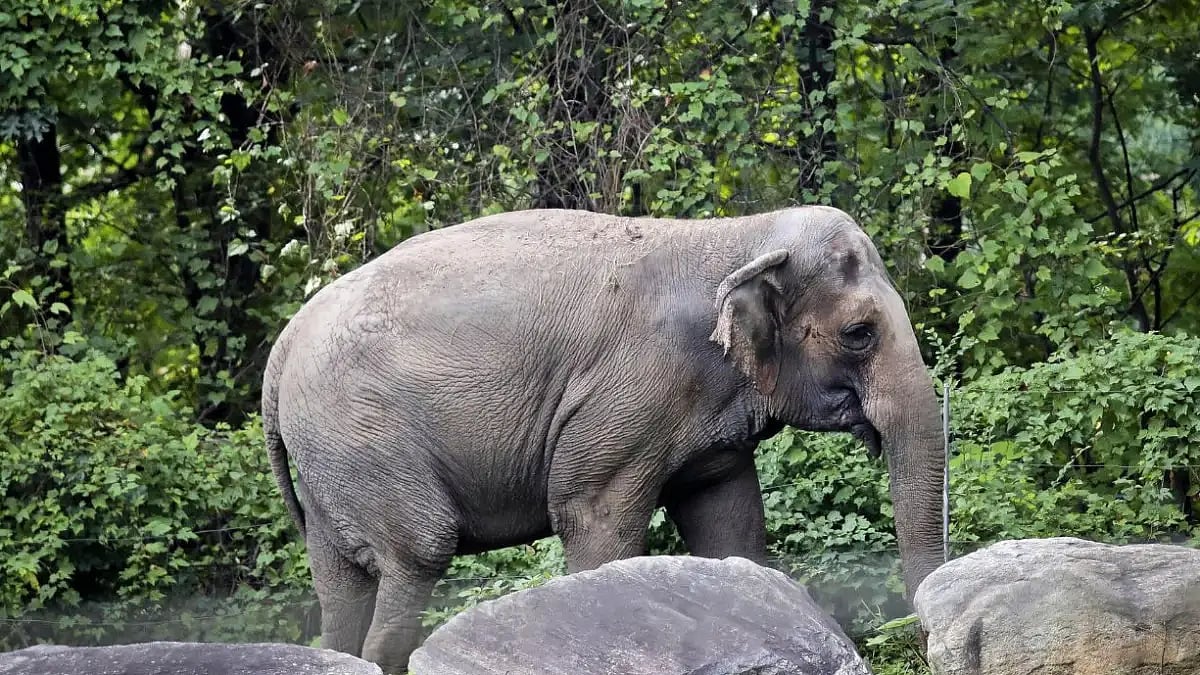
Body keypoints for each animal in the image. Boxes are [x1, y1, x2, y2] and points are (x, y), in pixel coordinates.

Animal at [262, 206, 946, 673]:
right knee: (417, 554)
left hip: (329, 460)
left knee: (340, 583)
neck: (738, 236)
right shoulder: (630, 396)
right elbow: (594, 517)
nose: (921, 642)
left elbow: (730, 522)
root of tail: (283, 346)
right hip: (363, 437)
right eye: (858, 334)